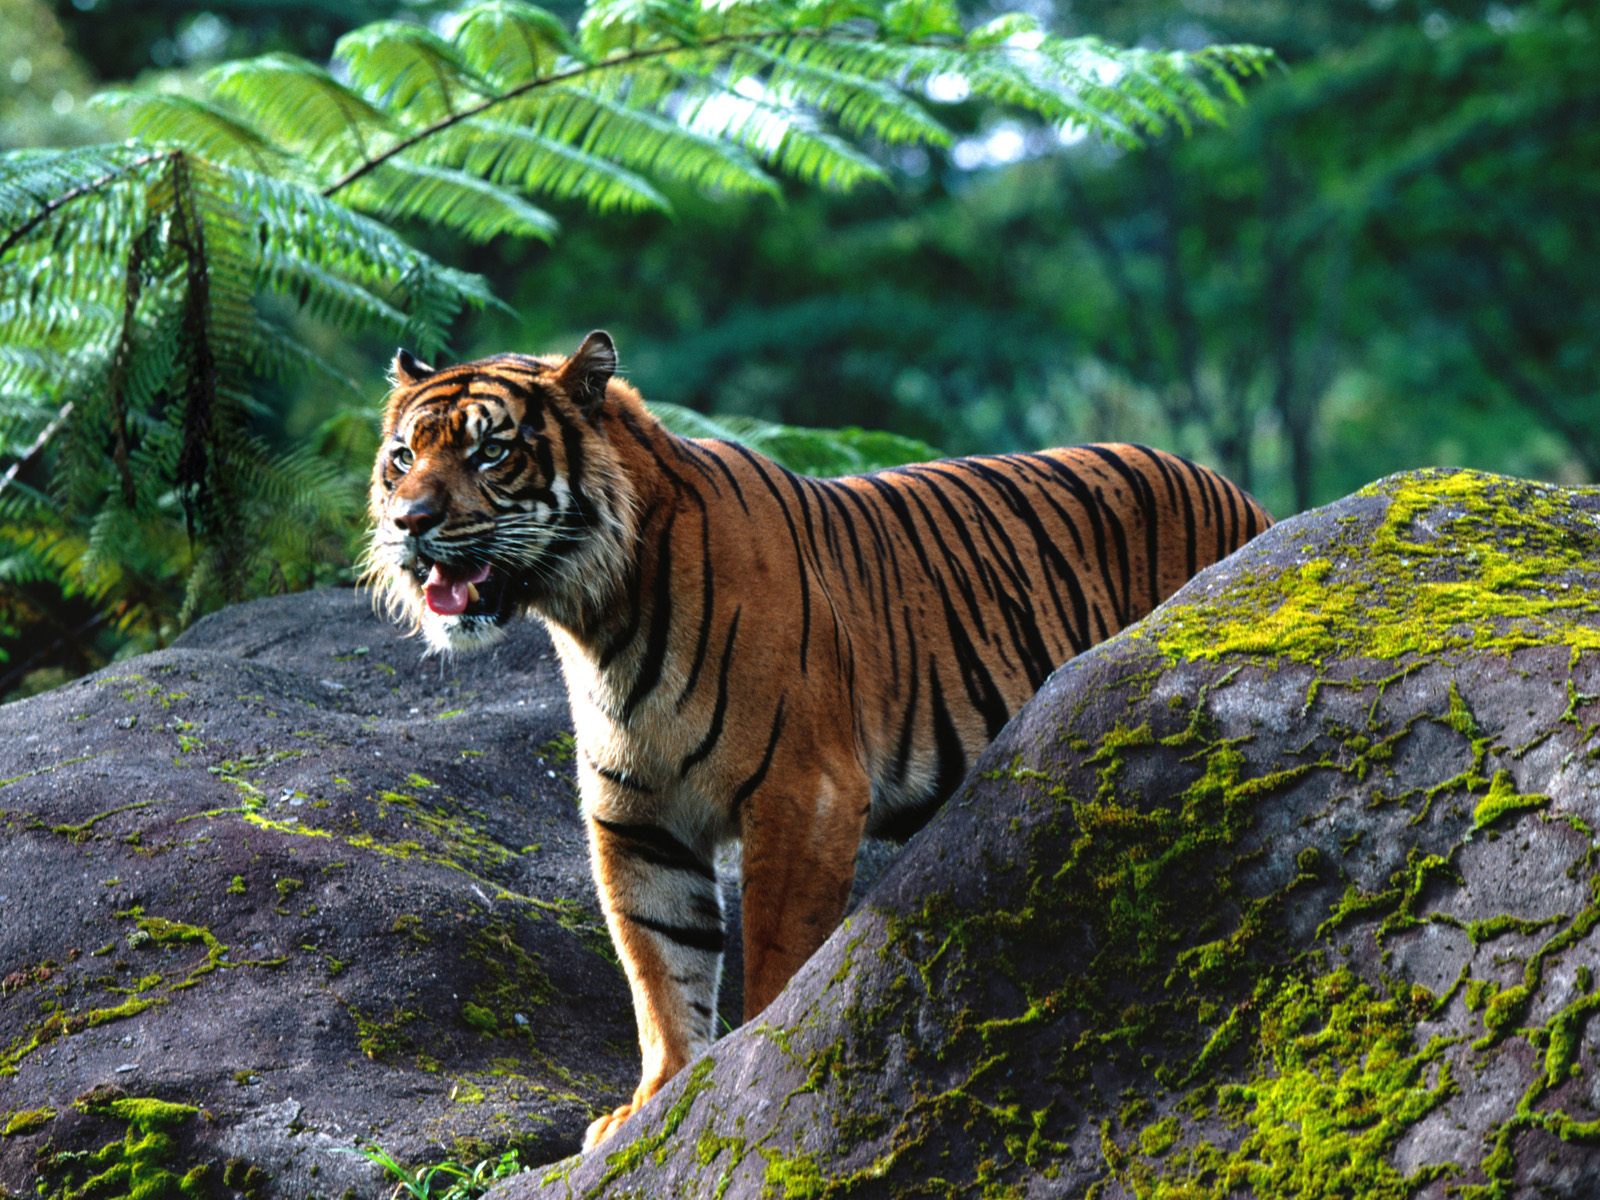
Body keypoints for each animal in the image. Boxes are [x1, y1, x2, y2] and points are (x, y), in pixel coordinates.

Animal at [366, 331, 1271, 1150]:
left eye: (490, 453)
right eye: (403, 457)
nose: (410, 522)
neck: (599, 618)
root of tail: (1246, 498)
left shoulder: (804, 792)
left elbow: (775, 951)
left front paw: (744, 1071)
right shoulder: (638, 819)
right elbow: (659, 966)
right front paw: (654, 1101)